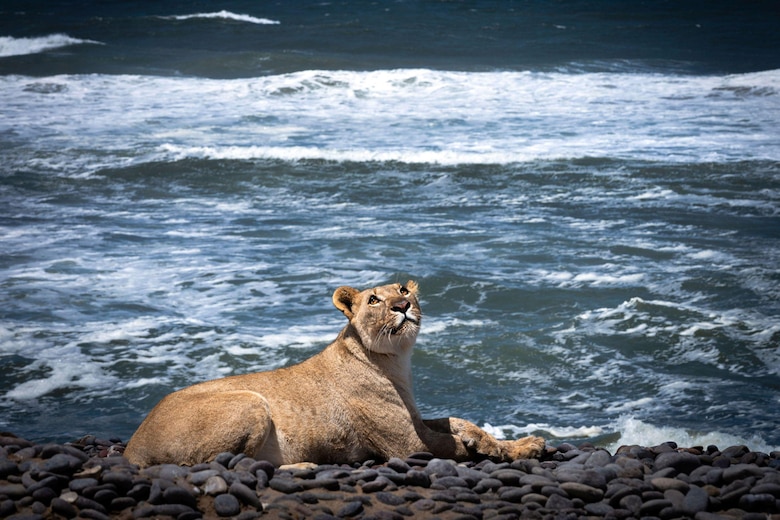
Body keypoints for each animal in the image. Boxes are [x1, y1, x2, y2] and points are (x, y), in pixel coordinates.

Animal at [124, 281, 545, 467]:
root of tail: (131, 446)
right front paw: (503, 450)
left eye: (403, 289)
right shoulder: (407, 444)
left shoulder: (415, 419)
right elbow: (451, 446)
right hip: (251, 401)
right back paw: (305, 466)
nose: (403, 305)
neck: (396, 361)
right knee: (218, 464)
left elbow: (461, 422)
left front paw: (516, 444)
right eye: (374, 299)